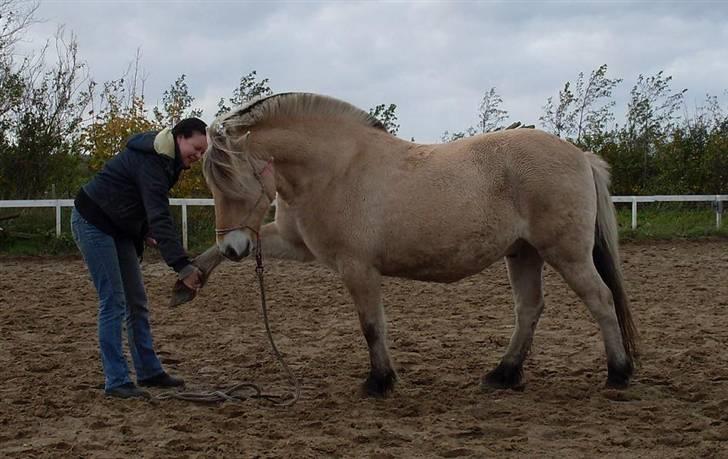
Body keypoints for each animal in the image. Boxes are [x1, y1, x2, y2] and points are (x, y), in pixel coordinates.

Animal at [188, 91, 636, 398]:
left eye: (236, 183)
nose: (235, 248)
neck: (335, 169)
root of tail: (580, 156)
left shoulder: (357, 268)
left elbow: (372, 326)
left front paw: (379, 381)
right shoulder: (296, 243)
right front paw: (187, 283)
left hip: (566, 253)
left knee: (600, 300)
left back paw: (619, 373)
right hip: (523, 253)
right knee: (529, 310)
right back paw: (503, 375)